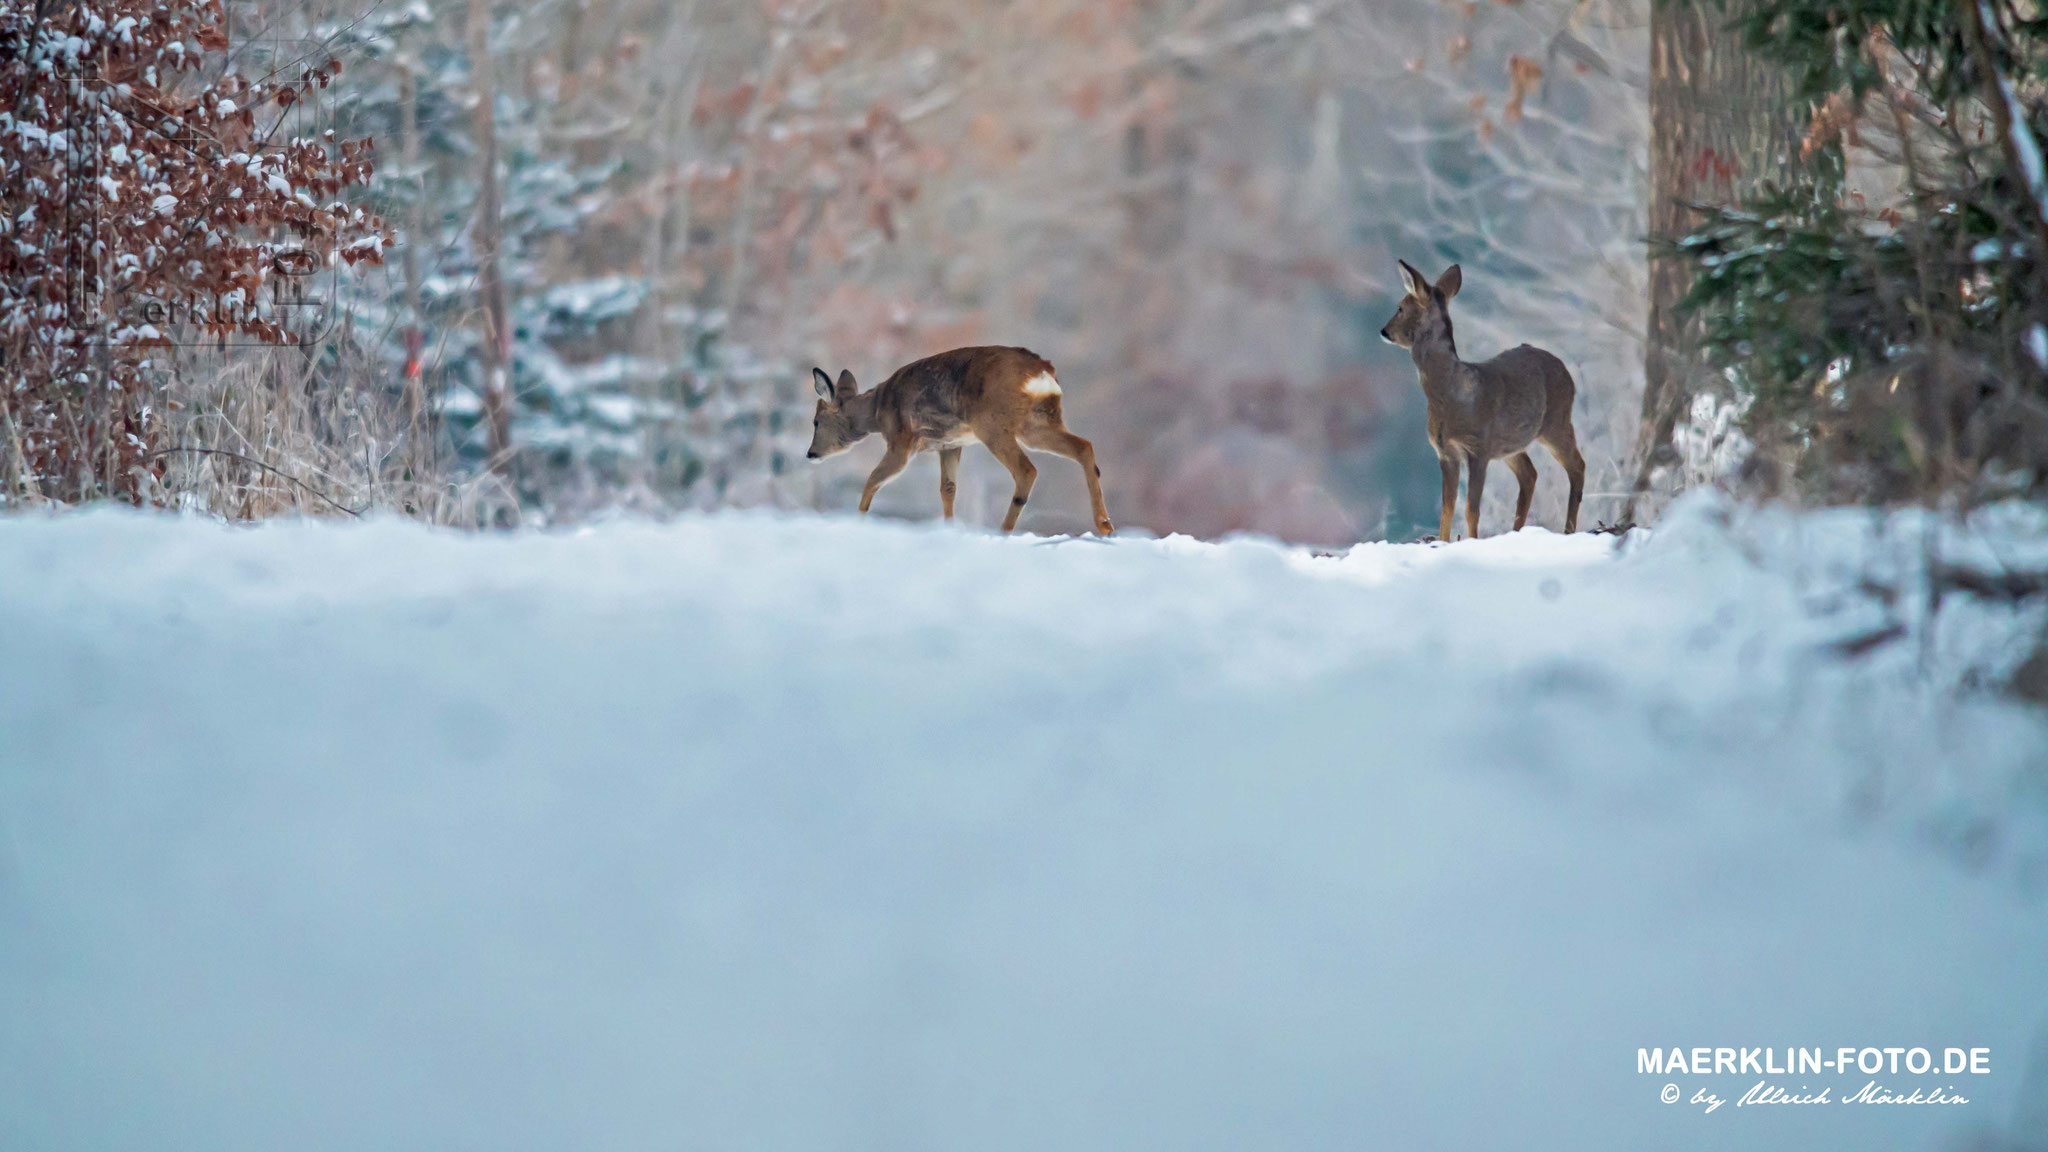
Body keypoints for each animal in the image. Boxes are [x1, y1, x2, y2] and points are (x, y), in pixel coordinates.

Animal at [802, 342, 1122, 537]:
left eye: (816, 421)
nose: (810, 454)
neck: (878, 409)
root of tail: (1042, 373)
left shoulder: (901, 440)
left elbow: (873, 479)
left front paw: (858, 520)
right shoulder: (949, 443)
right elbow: (948, 488)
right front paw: (949, 527)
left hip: (993, 425)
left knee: (1027, 470)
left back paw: (1003, 530)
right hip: (1037, 423)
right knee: (1084, 446)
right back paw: (1105, 525)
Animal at [1384, 260, 1589, 537]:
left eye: (1401, 307)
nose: (1384, 331)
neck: (1452, 395)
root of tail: (1566, 371)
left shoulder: (1478, 447)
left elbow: (1472, 509)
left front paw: (1471, 540)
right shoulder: (1445, 452)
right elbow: (1447, 508)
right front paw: (1444, 541)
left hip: (1557, 422)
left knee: (1577, 465)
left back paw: (1568, 530)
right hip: (1511, 444)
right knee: (1530, 473)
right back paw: (1517, 531)